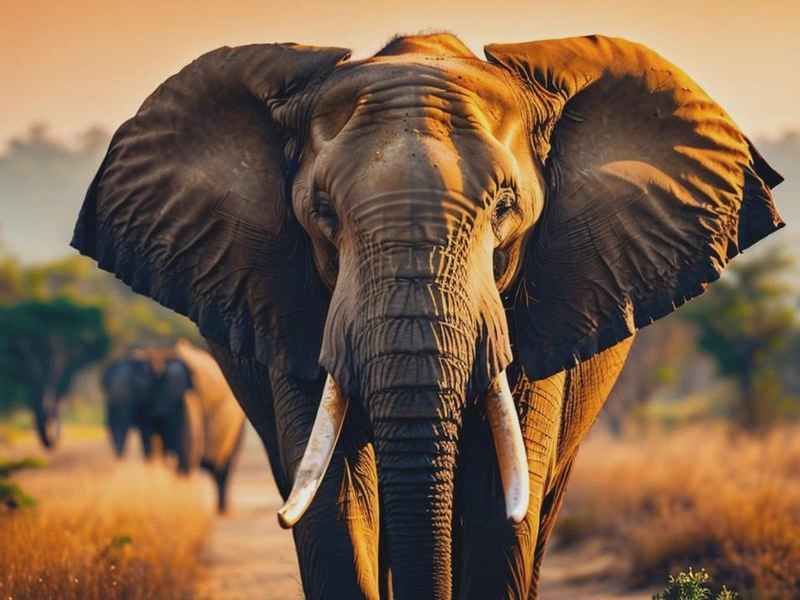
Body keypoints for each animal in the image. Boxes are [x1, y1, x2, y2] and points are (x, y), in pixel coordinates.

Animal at [100, 342, 246, 513]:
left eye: (138, 389)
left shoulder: (185, 397)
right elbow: (151, 445)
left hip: (239, 419)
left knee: (225, 466)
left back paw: (225, 511)